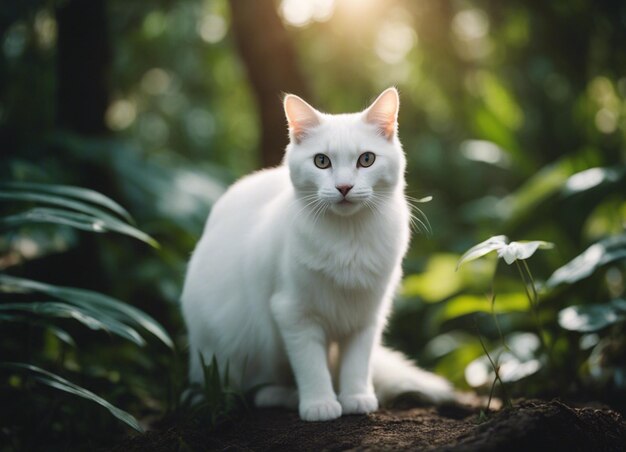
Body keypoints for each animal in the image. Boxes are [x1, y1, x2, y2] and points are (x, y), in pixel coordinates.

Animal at [182, 87, 454, 420]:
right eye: (321, 162)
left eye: (366, 160)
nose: (344, 187)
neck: (349, 241)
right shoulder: (294, 314)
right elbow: (312, 366)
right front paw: (319, 404)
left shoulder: (366, 317)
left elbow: (356, 365)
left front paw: (356, 397)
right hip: (246, 344)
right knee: (254, 387)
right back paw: (283, 396)